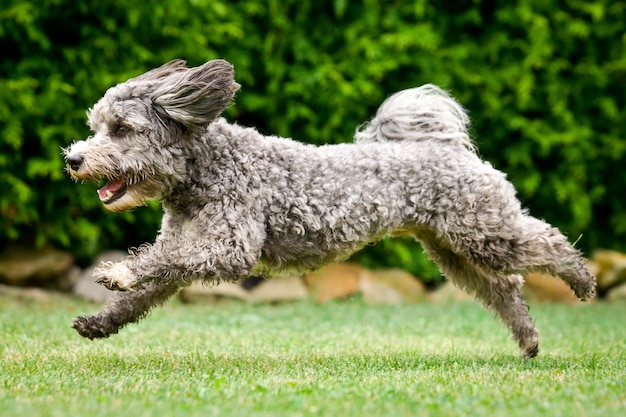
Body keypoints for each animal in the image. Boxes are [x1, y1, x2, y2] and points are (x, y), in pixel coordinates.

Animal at [64, 58, 596, 358]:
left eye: (122, 129)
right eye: (96, 126)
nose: (73, 158)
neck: (207, 170)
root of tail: (447, 145)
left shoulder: (229, 245)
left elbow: (158, 262)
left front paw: (118, 271)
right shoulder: (191, 246)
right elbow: (149, 285)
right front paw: (101, 322)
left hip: (486, 233)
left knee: (547, 243)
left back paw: (582, 280)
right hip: (453, 249)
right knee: (504, 289)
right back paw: (528, 340)